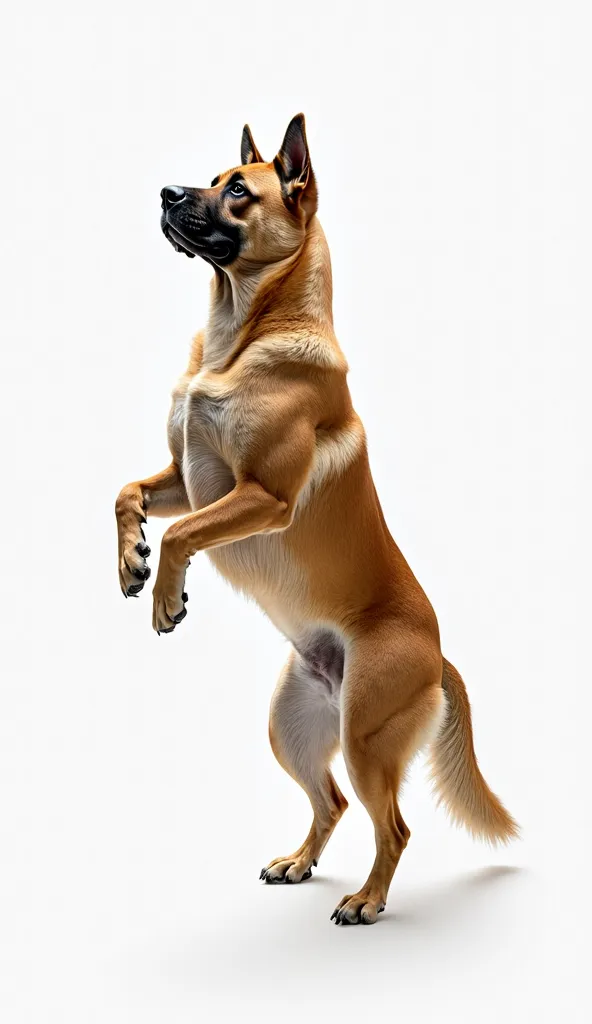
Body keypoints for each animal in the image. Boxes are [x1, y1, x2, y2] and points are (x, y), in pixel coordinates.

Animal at [115, 116, 516, 925]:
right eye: (214, 178)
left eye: (239, 191)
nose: (167, 192)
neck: (241, 331)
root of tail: (439, 658)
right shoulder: (186, 479)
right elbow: (127, 495)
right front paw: (129, 562)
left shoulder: (258, 496)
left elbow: (179, 534)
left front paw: (166, 596)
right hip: (291, 727)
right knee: (330, 801)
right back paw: (299, 864)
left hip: (366, 738)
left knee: (393, 825)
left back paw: (366, 901)